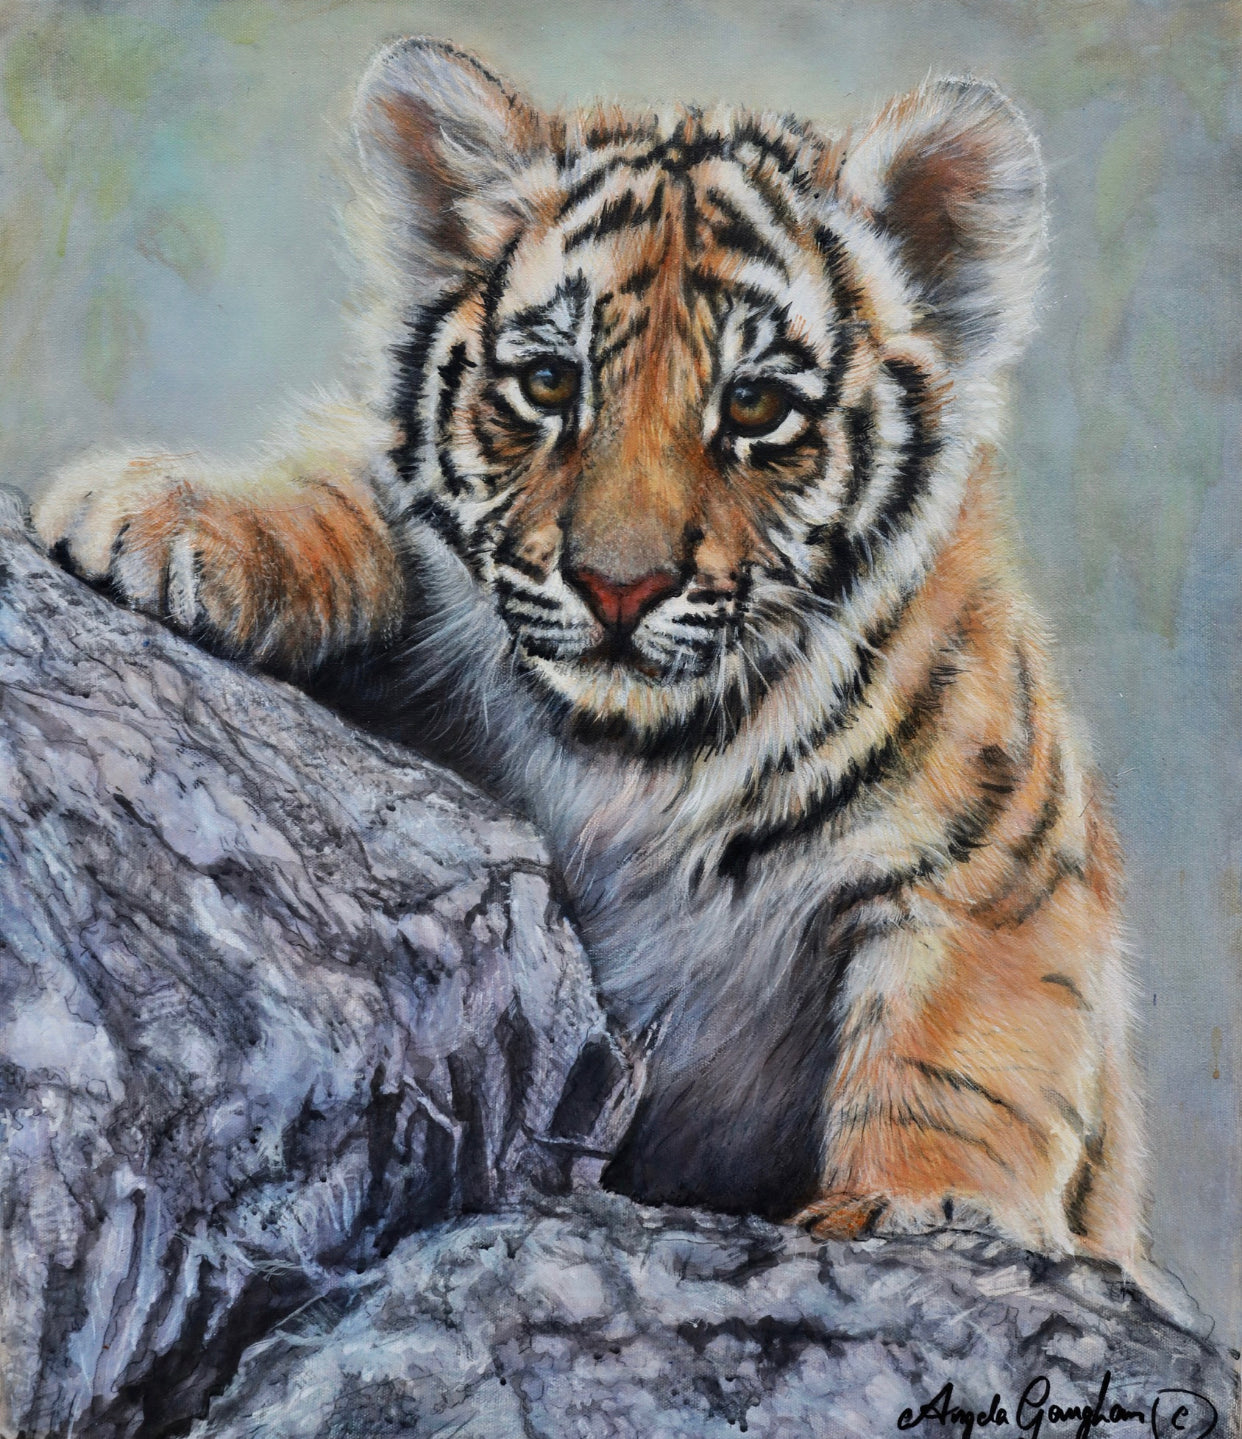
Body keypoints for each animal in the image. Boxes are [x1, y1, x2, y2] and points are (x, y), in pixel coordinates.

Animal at [34, 37, 1170, 1305]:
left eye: (755, 404)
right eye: (547, 384)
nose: (618, 586)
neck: (639, 754)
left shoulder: (998, 865)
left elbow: (965, 1048)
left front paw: (927, 1205)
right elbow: (346, 483)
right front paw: (169, 515)